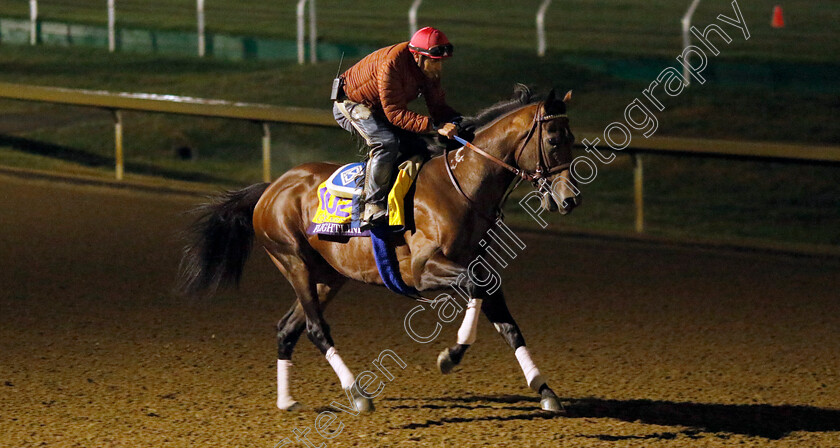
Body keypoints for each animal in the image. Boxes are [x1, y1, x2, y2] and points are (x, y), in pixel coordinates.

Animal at [178, 85, 580, 412]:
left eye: (573, 139)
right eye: (554, 140)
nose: (569, 200)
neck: (462, 185)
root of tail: (271, 188)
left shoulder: (478, 264)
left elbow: (505, 320)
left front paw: (545, 390)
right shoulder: (422, 270)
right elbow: (473, 288)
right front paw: (451, 355)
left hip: (328, 275)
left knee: (287, 328)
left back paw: (287, 401)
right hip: (293, 261)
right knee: (315, 328)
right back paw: (357, 394)